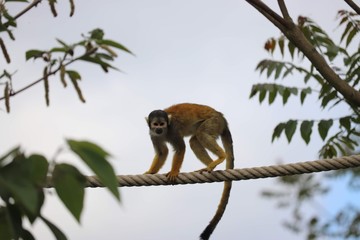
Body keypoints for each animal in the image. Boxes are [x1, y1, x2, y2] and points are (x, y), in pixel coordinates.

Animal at [145, 103, 235, 240]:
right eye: (156, 124)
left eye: (162, 124)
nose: (159, 129)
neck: (165, 131)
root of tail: (221, 117)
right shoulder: (153, 134)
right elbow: (162, 152)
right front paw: (150, 172)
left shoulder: (173, 130)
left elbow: (181, 148)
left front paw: (174, 172)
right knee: (194, 141)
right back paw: (211, 165)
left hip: (214, 122)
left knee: (201, 133)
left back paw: (221, 157)